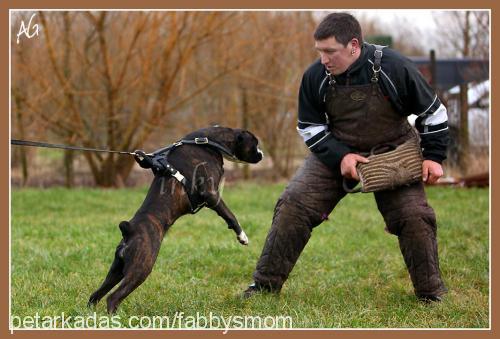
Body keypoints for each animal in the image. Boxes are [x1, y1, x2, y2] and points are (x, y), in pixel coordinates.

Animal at [88, 127, 264, 314]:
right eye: (255, 143)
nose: (262, 154)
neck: (206, 141)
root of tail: (129, 231)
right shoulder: (211, 194)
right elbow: (230, 215)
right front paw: (242, 236)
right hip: (140, 268)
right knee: (113, 297)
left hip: (117, 270)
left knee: (96, 294)